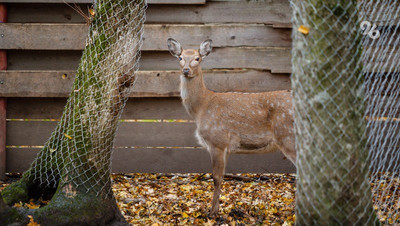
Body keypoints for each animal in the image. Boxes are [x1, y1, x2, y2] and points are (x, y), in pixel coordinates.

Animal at [166, 38, 296, 217]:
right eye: (180, 57)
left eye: (197, 58)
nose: (186, 70)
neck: (202, 108)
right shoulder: (226, 147)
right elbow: (222, 177)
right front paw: (216, 209)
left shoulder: (217, 141)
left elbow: (216, 177)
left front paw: (212, 212)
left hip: (288, 136)